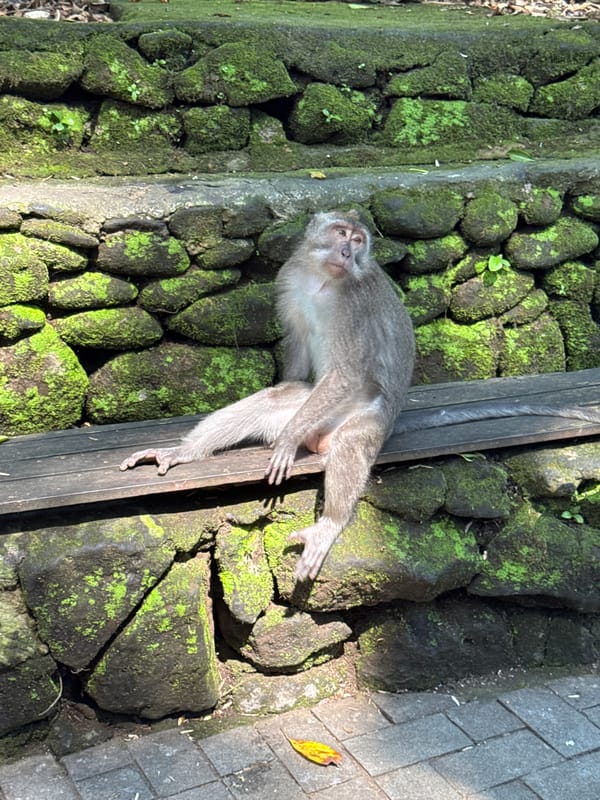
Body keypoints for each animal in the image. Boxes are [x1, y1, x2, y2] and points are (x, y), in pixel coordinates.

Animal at [120, 210, 600, 582]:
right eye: (340, 233)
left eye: (358, 240)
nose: (347, 252)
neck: (323, 280)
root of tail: (319, 436)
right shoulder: (290, 278)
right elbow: (295, 362)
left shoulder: (354, 305)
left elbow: (348, 372)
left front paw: (289, 447)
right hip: (313, 414)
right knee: (278, 402)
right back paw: (184, 452)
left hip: (365, 419)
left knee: (351, 441)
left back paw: (327, 520)